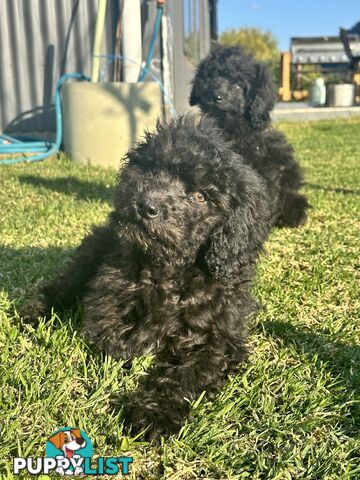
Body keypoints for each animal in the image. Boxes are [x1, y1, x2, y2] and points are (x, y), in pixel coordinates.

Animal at [23, 114, 272, 436]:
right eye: (152, 169)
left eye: (200, 196)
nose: (145, 205)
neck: (169, 269)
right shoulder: (109, 302)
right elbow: (116, 340)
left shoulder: (219, 339)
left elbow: (186, 374)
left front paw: (155, 412)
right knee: (63, 285)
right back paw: (35, 312)